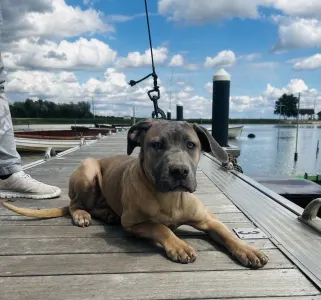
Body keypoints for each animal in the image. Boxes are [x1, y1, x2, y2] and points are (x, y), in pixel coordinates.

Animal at [0, 118, 268, 268]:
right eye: (157, 145)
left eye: (191, 145)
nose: (179, 171)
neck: (170, 198)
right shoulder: (133, 223)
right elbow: (160, 227)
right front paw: (179, 245)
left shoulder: (208, 220)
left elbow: (226, 233)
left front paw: (248, 249)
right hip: (88, 170)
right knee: (76, 204)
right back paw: (83, 215)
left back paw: (107, 213)